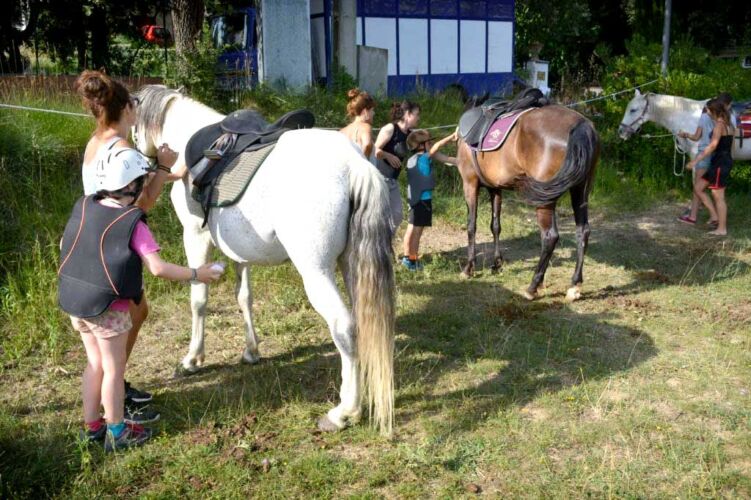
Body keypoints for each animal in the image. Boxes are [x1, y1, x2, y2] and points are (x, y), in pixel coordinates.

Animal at [132, 85, 395, 435]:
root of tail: (355, 166)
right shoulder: (239, 251)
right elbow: (244, 297)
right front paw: (251, 351)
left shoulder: (195, 237)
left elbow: (198, 299)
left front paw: (193, 359)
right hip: (354, 266)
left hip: (317, 273)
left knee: (345, 327)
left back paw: (344, 411)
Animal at [456, 105, 600, 302]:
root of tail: (581, 124)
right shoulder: (495, 188)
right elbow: (496, 226)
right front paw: (497, 264)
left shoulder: (469, 182)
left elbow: (471, 225)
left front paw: (469, 268)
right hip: (580, 190)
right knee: (582, 231)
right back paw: (574, 286)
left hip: (546, 200)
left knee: (550, 236)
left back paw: (532, 287)